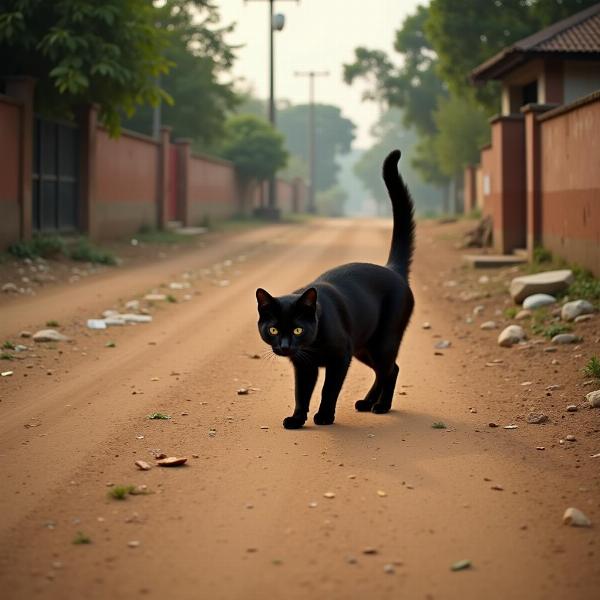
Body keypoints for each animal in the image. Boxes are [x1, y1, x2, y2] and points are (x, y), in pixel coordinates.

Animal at [255, 152, 414, 428]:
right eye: (273, 329)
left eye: (298, 329)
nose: (285, 346)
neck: (311, 347)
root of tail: (393, 269)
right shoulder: (304, 366)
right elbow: (301, 393)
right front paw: (297, 419)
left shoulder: (340, 357)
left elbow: (329, 390)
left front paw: (325, 416)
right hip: (364, 347)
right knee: (385, 370)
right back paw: (367, 403)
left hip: (382, 341)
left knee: (390, 369)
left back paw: (381, 406)